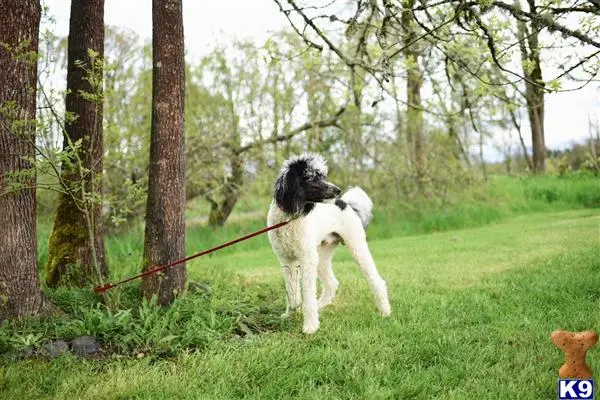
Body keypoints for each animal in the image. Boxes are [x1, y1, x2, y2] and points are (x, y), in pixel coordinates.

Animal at [266, 153, 390, 334]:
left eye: (323, 175)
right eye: (310, 177)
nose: (337, 190)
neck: (289, 219)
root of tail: (347, 204)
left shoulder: (306, 259)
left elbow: (308, 294)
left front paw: (310, 326)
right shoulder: (287, 261)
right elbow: (291, 291)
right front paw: (291, 314)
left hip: (356, 246)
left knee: (377, 281)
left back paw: (385, 312)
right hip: (321, 255)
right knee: (332, 284)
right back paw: (320, 306)